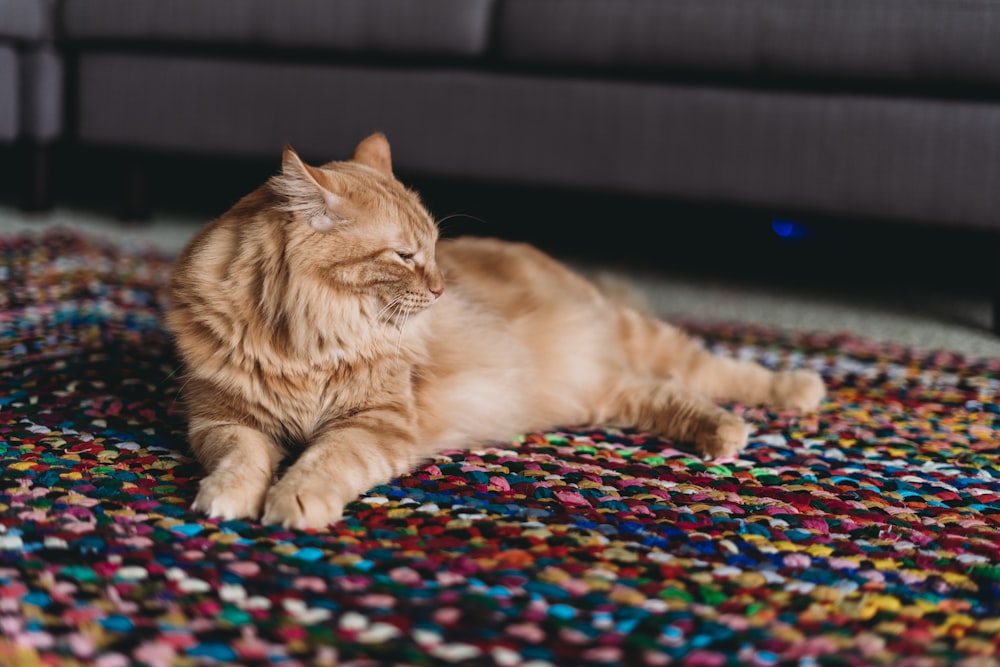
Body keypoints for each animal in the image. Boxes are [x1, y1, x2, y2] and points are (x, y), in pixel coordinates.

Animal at [166, 134, 828, 532]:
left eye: (434, 250)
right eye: (405, 256)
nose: (439, 289)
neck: (303, 342)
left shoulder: (374, 422)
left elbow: (322, 461)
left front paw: (293, 502)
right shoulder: (223, 419)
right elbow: (242, 459)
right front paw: (227, 498)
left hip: (641, 341)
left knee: (720, 372)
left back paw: (786, 399)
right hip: (602, 393)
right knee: (668, 394)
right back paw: (719, 435)